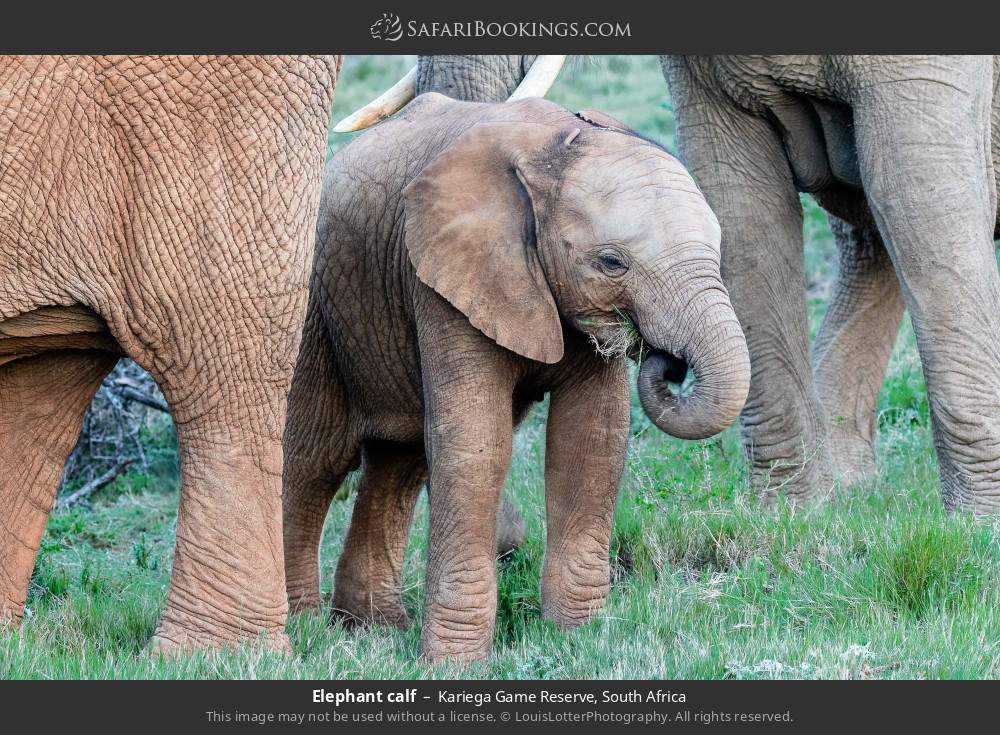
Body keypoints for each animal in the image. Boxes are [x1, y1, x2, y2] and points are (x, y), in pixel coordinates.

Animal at [281, 92, 750, 662]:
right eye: (611, 262)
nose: (669, 360)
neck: (554, 148)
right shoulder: (446, 278)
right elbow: (477, 445)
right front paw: (454, 664)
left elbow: (590, 440)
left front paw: (580, 640)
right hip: (313, 309)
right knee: (316, 459)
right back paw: (305, 628)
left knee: (401, 463)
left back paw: (375, 630)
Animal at [342, 54, 1000, 513]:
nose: (664, 359)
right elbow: (743, 207)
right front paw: (797, 518)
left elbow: (919, 195)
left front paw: (974, 527)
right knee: (865, 238)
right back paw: (854, 493)